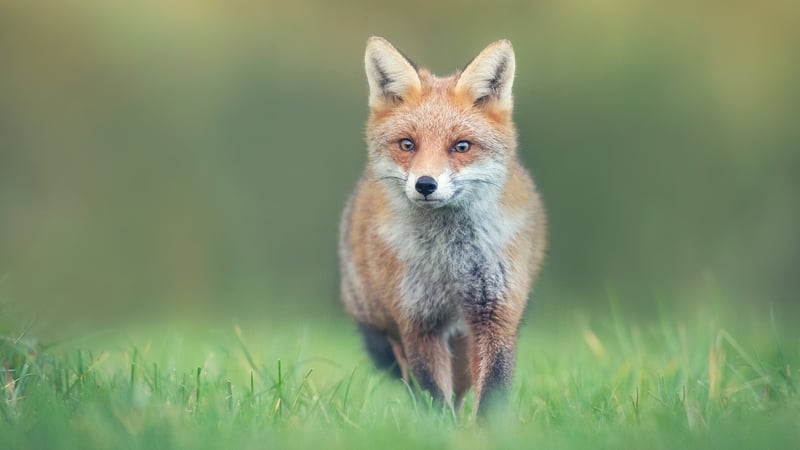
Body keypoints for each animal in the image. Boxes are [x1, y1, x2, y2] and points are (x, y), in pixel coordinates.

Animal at [338, 37, 552, 416]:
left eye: (461, 146)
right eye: (407, 144)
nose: (425, 184)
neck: (450, 258)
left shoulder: (495, 313)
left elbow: (491, 391)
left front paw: (484, 429)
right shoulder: (418, 321)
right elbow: (433, 395)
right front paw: (439, 427)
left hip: (464, 339)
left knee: (462, 388)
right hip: (390, 330)